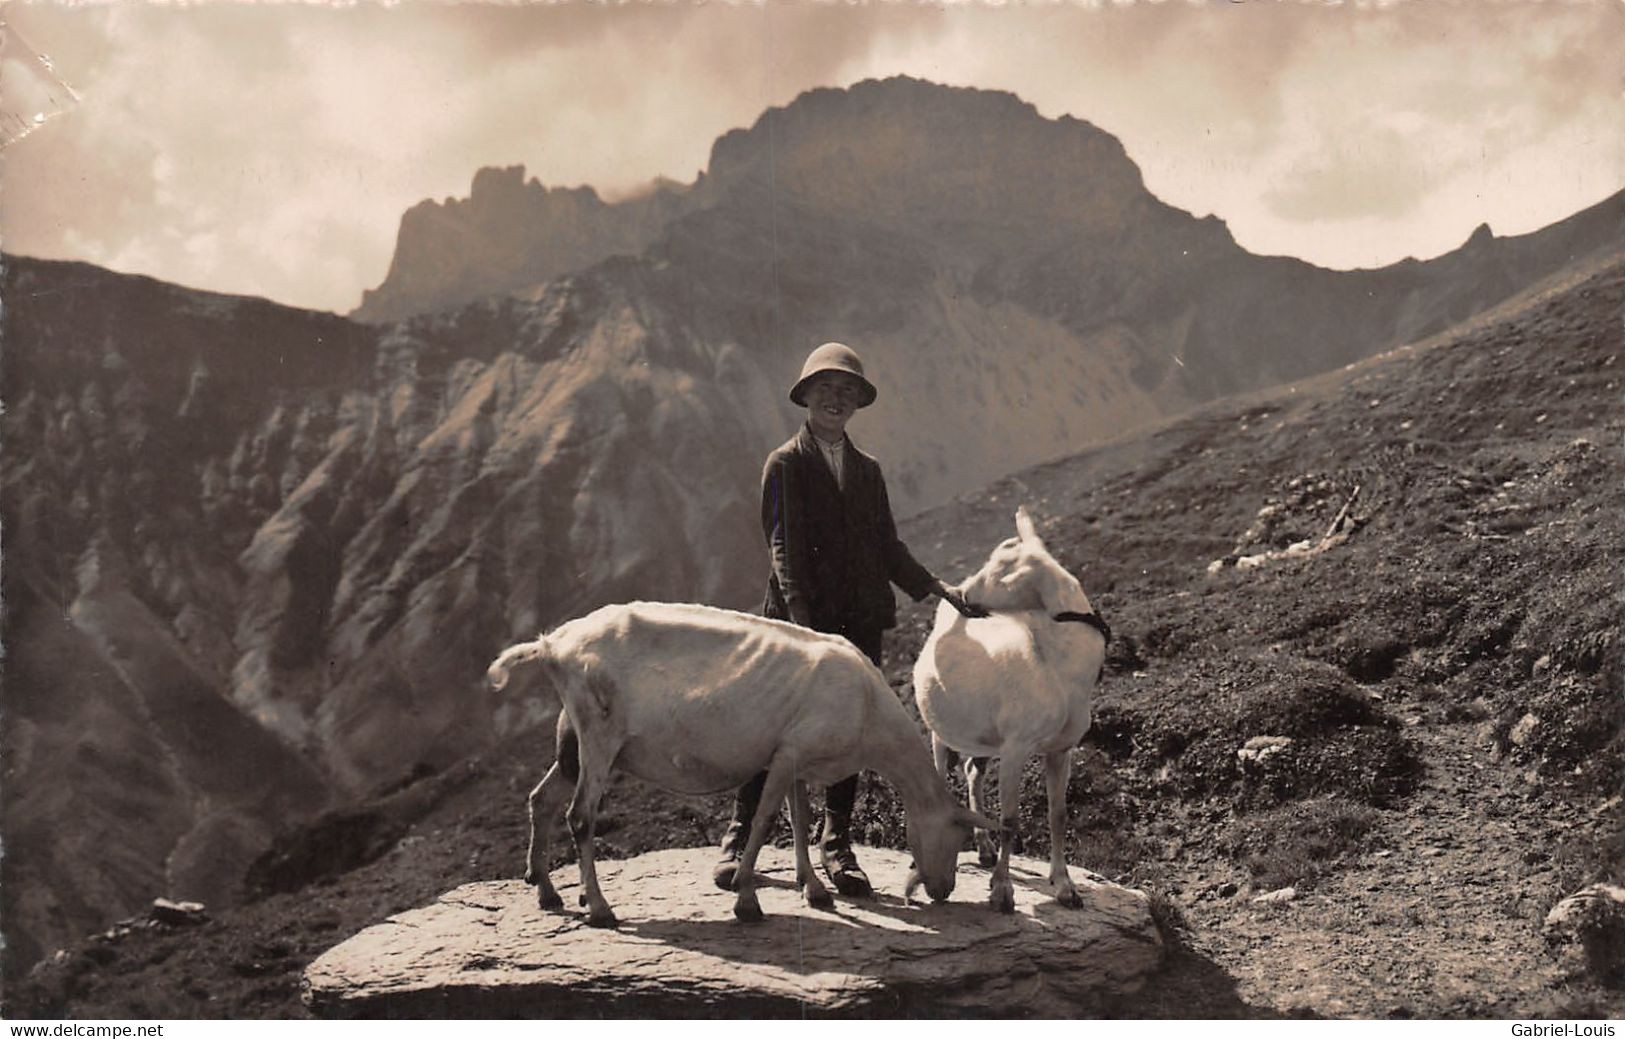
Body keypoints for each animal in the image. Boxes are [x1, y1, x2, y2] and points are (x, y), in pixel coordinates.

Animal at [481, 601, 994, 923]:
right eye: (956, 834)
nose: (943, 890)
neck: (869, 710)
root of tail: (552, 645)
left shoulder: (794, 756)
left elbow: (799, 819)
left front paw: (814, 889)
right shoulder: (788, 754)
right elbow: (766, 820)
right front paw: (747, 899)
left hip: (576, 740)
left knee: (542, 798)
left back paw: (547, 890)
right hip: (599, 733)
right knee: (580, 816)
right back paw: (601, 909)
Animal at [916, 507, 1105, 917]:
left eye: (1003, 569)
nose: (962, 595)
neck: (1053, 665)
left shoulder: (1060, 749)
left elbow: (1058, 814)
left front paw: (1065, 887)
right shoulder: (1017, 747)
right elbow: (1010, 820)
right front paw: (1002, 893)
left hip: (984, 739)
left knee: (973, 773)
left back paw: (984, 849)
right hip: (941, 730)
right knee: (940, 777)